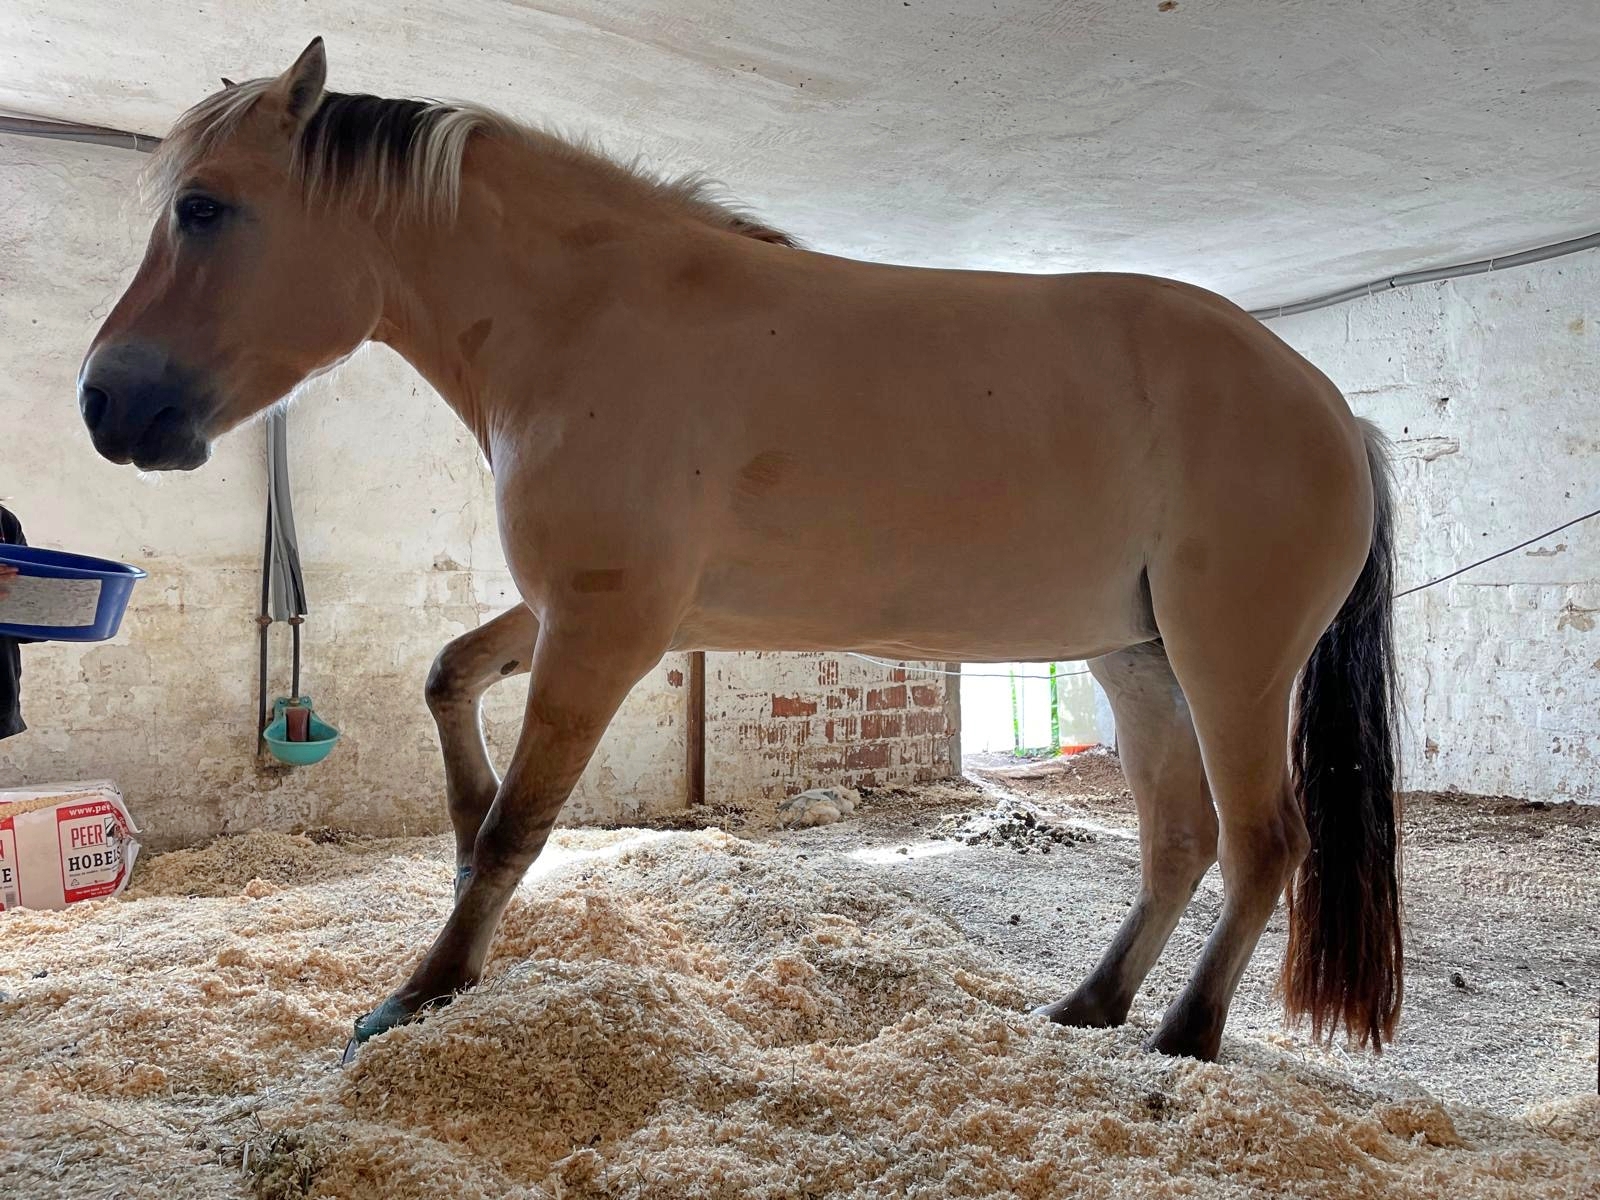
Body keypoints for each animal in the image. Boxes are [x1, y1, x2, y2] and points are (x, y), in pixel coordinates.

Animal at [78, 39, 1402, 1064]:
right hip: (1137, 656)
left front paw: (422, 990)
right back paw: (1090, 1006)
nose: (105, 404)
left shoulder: (605, 627)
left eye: (203, 207)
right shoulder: (581, 611)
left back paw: (1187, 1034)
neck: (587, 320)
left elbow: (520, 824)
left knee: (1261, 844)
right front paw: (451, 859)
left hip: (1227, 662)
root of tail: (1332, 412)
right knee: (1180, 842)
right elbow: (451, 683)